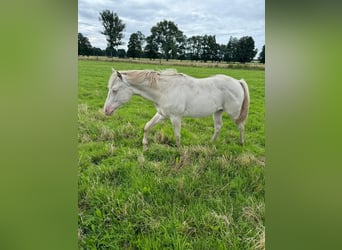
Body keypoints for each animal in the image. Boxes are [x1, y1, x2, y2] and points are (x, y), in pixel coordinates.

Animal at [101, 68, 248, 148]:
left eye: (114, 90)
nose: (106, 111)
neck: (165, 89)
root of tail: (238, 81)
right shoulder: (162, 115)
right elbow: (147, 126)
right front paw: (144, 144)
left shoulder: (176, 118)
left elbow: (177, 136)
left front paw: (179, 150)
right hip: (217, 111)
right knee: (218, 127)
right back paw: (211, 143)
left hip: (234, 114)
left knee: (241, 126)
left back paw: (241, 143)